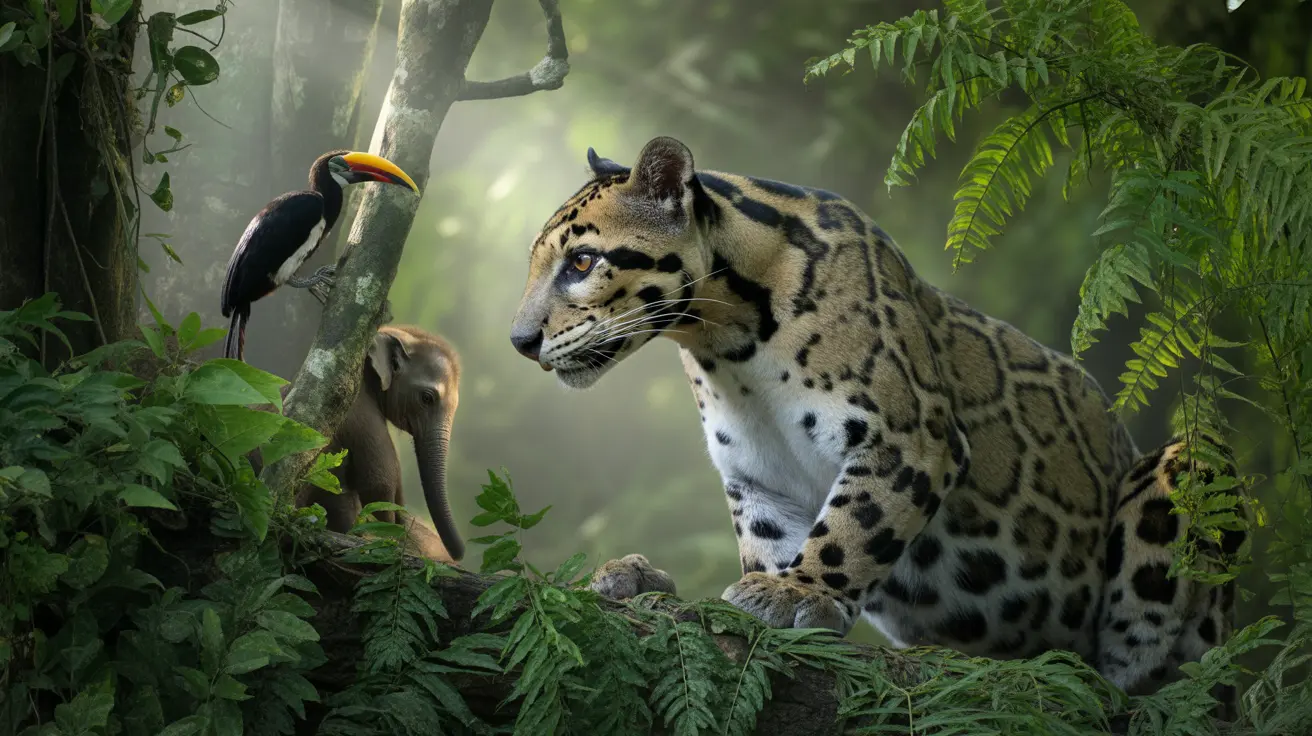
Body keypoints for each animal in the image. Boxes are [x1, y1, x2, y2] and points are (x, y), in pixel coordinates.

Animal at [507, 135, 1247, 710]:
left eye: (582, 262)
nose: (519, 341)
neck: (727, 340)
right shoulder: (758, 475)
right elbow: (772, 542)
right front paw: (690, 586)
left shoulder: (909, 438)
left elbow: (854, 527)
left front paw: (799, 593)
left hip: (1189, 470)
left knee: (1151, 676)